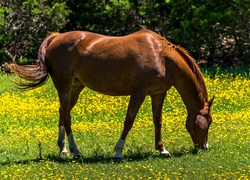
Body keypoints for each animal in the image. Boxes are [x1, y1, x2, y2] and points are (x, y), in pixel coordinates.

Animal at [5, 28, 214, 161]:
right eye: (209, 121)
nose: (204, 148)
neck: (161, 56)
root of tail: (56, 38)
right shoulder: (138, 93)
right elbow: (129, 121)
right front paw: (118, 152)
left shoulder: (158, 93)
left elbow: (158, 121)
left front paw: (162, 150)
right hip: (64, 86)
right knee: (67, 117)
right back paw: (75, 151)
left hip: (76, 87)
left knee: (62, 113)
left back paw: (63, 149)